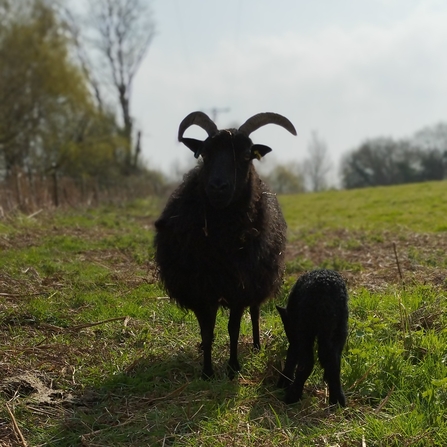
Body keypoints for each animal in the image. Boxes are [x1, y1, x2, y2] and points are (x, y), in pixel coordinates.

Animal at [154, 110, 298, 380]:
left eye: (246, 155)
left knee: (255, 312)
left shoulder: (240, 287)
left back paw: (256, 345)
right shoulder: (201, 289)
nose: (218, 187)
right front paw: (207, 371)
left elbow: (233, 327)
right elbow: (207, 330)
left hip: (258, 280)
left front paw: (233, 367)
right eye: (205, 154)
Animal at [276, 268, 350, 408]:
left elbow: (292, 353)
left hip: (306, 326)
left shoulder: (297, 333)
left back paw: (292, 396)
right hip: (340, 327)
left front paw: (285, 380)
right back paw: (337, 401)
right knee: (334, 362)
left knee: (306, 362)